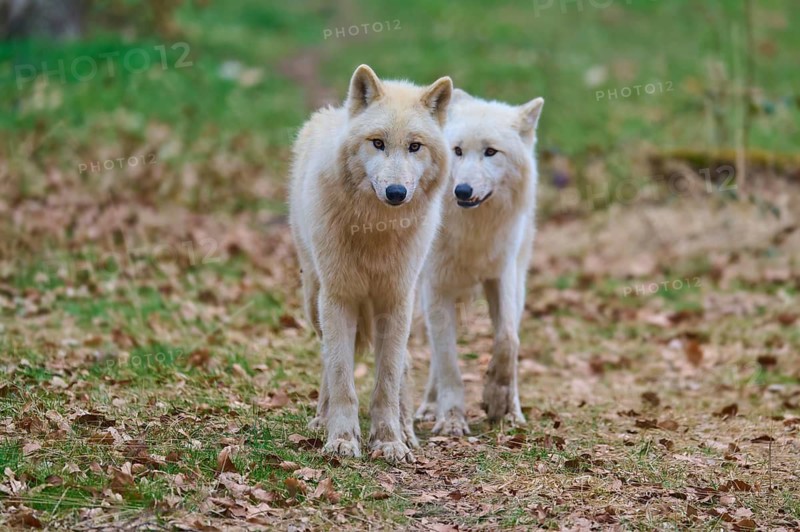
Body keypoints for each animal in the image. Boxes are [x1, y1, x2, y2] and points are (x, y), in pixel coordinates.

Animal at [289, 65, 453, 461]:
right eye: (377, 143)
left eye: (414, 146)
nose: (396, 192)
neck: (375, 230)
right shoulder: (337, 299)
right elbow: (341, 375)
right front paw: (341, 439)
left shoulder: (395, 301)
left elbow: (388, 380)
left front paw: (390, 441)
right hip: (313, 300)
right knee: (328, 361)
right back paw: (321, 420)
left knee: (404, 365)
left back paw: (407, 430)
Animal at [414, 89, 544, 436]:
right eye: (457, 151)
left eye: (490, 152)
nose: (462, 190)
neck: (473, 231)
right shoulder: (436, 287)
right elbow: (448, 362)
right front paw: (450, 419)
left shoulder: (501, 277)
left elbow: (508, 340)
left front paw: (497, 400)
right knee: (436, 353)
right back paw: (430, 406)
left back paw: (514, 411)